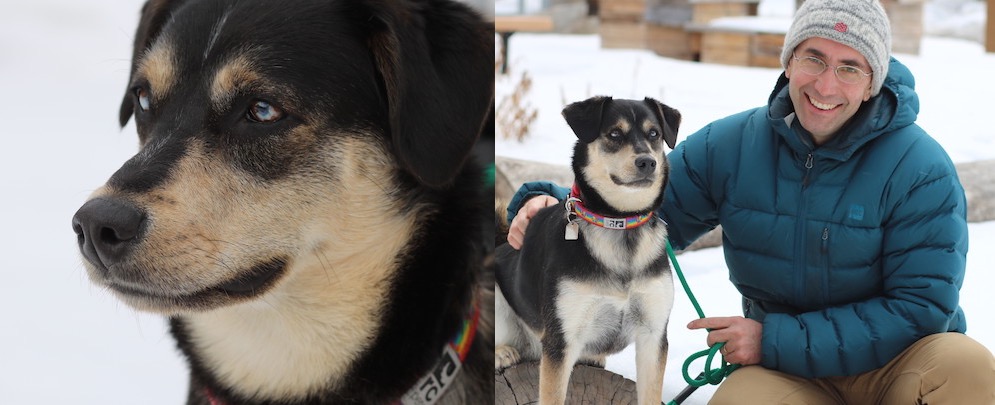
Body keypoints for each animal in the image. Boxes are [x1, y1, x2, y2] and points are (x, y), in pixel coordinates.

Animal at [494, 96, 680, 402]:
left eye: (654, 134)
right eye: (614, 134)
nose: (647, 162)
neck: (619, 222)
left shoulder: (653, 335)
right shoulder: (561, 338)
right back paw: (502, 352)